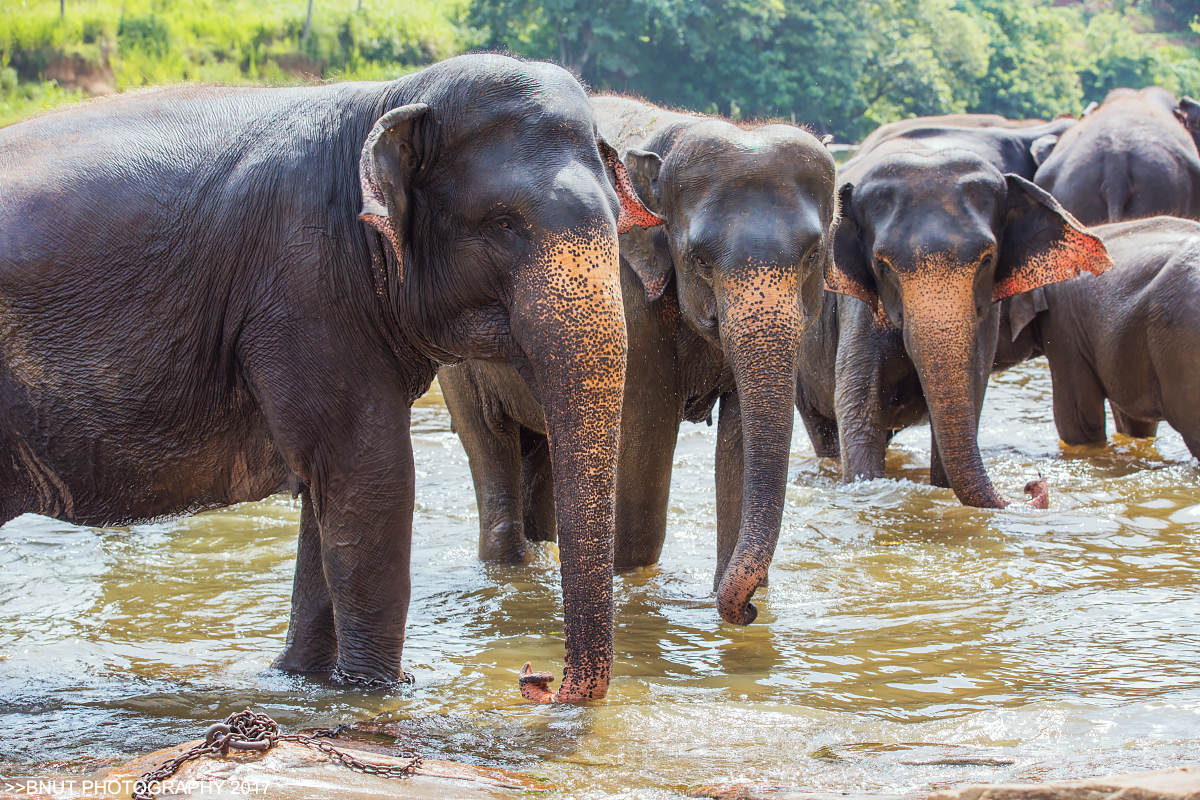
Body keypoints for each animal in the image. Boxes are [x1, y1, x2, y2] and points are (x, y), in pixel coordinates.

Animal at [0, 53, 657, 700]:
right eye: (502, 225)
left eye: (615, 222)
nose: (537, 680)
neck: (389, 96)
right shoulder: (306, 289)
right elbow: (371, 477)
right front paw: (379, 691)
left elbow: (332, 492)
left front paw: (306, 680)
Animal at [439, 95, 835, 657]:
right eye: (700, 260)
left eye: (812, 255)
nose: (749, 612)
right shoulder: (631, 306)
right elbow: (640, 503)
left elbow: (738, 454)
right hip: (457, 358)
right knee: (490, 450)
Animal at [796, 131, 1113, 506]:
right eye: (883, 266)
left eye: (987, 259)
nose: (1034, 482)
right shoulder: (857, 311)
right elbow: (859, 409)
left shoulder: (985, 317)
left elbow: (969, 397)